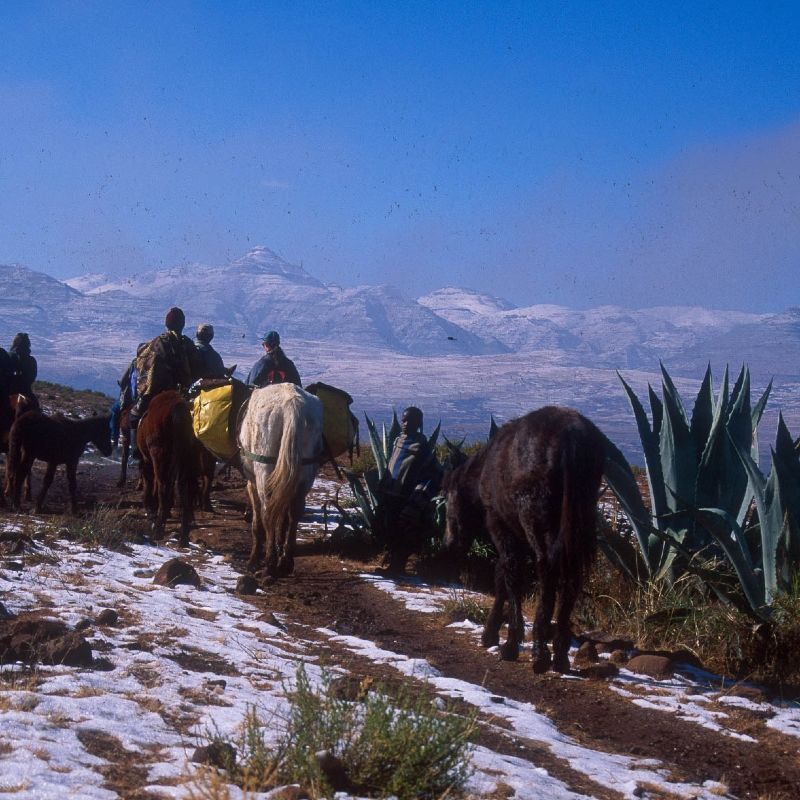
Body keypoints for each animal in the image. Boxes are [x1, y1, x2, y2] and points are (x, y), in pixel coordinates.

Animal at [136, 390, 198, 547]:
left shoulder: (149, 460)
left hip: (159, 457)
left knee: (163, 488)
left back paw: (158, 531)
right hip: (187, 460)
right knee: (186, 490)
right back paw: (183, 537)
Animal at [237, 383, 323, 577]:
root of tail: (293, 404)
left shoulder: (252, 482)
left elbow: (258, 521)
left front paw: (254, 560)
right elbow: (282, 517)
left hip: (264, 470)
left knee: (267, 511)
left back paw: (269, 562)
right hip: (305, 472)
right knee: (295, 512)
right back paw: (285, 561)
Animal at [443, 406, 606, 674]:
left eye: (446, 493)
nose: (449, 543)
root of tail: (571, 436)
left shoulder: (500, 527)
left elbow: (508, 574)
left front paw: (508, 641)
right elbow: (502, 577)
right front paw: (491, 633)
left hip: (537, 522)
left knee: (547, 570)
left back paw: (540, 653)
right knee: (572, 578)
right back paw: (560, 656)